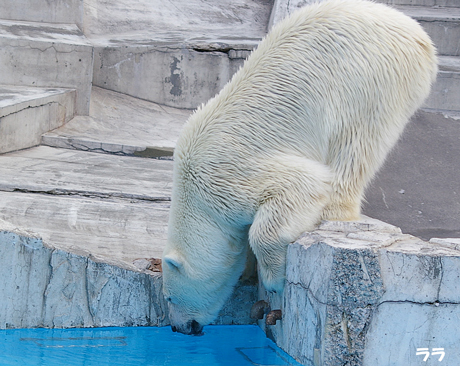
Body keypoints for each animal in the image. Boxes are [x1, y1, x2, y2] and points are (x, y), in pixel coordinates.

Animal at [163, 0, 438, 334]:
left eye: (169, 297)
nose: (179, 327)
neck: (195, 196)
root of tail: (417, 33)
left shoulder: (225, 174)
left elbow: (299, 186)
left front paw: (275, 279)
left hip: (371, 79)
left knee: (356, 145)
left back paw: (336, 210)